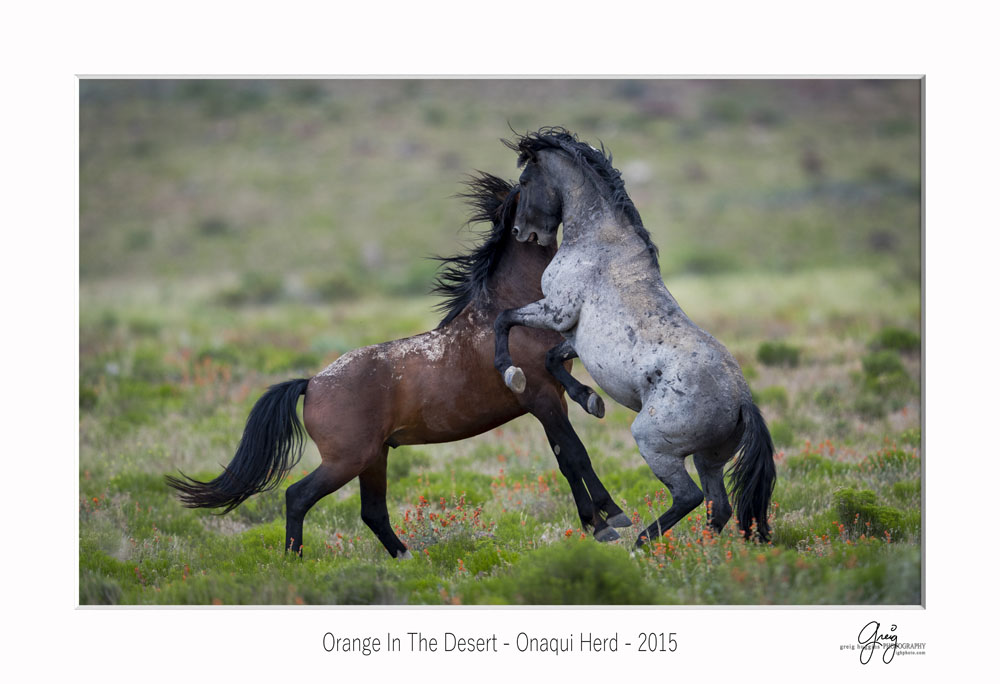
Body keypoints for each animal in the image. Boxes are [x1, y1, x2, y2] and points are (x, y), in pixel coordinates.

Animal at [168, 174, 628, 560]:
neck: (507, 305)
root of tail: (311, 383)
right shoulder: (540, 396)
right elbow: (576, 454)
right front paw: (611, 520)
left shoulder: (550, 398)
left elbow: (567, 457)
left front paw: (596, 521)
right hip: (347, 460)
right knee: (297, 496)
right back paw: (294, 562)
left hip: (374, 458)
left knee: (372, 512)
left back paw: (405, 558)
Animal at [496, 127, 776, 544]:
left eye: (526, 181)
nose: (520, 232)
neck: (598, 242)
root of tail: (742, 401)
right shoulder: (573, 336)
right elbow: (551, 358)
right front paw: (590, 401)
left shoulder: (556, 311)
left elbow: (503, 319)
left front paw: (510, 372)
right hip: (708, 458)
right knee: (718, 506)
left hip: (654, 444)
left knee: (689, 496)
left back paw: (639, 543)